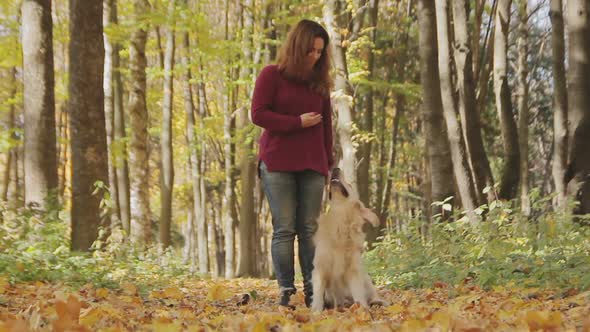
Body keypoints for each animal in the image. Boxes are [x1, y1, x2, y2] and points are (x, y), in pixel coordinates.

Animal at [310, 169, 388, 312]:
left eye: (350, 185)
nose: (335, 169)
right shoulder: (320, 267)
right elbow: (318, 293)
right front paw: (316, 311)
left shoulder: (353, 269)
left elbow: (358, 293)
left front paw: (362, 310)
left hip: (366, 277)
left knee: (372, 294)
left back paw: (378, 302)